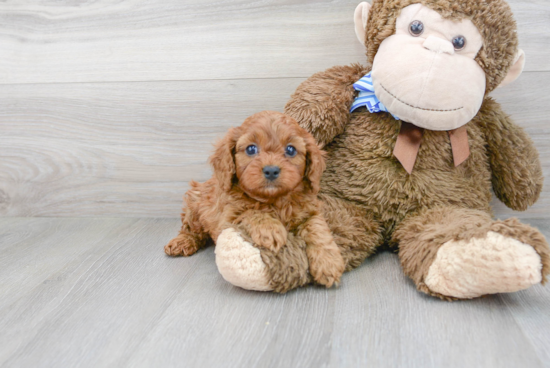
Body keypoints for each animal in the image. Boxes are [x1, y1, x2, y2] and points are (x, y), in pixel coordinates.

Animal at [165, 109, 344, 288]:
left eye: (291, 150)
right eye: (251, 149)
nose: (271, 170)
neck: (274, 200)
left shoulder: (310, 212)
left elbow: (317, 229)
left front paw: (328, 263)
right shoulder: (227, 219)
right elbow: (250, 212)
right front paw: (270, 229)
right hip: (195, 200)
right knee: (190, 228)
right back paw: (182, 242)